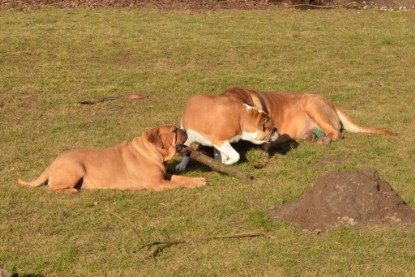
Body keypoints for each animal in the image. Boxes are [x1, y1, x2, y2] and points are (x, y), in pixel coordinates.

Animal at [16, 125, 208, 192]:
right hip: (75, 168)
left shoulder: (164, 176)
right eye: (174, 131)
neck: (150, 150)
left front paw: (198, 179)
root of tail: (52, 163)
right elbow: (179, 183)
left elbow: (180, 178)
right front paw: (196, 184)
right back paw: (70, 191)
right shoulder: (157, 184)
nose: (184, 130)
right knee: (53, 186)